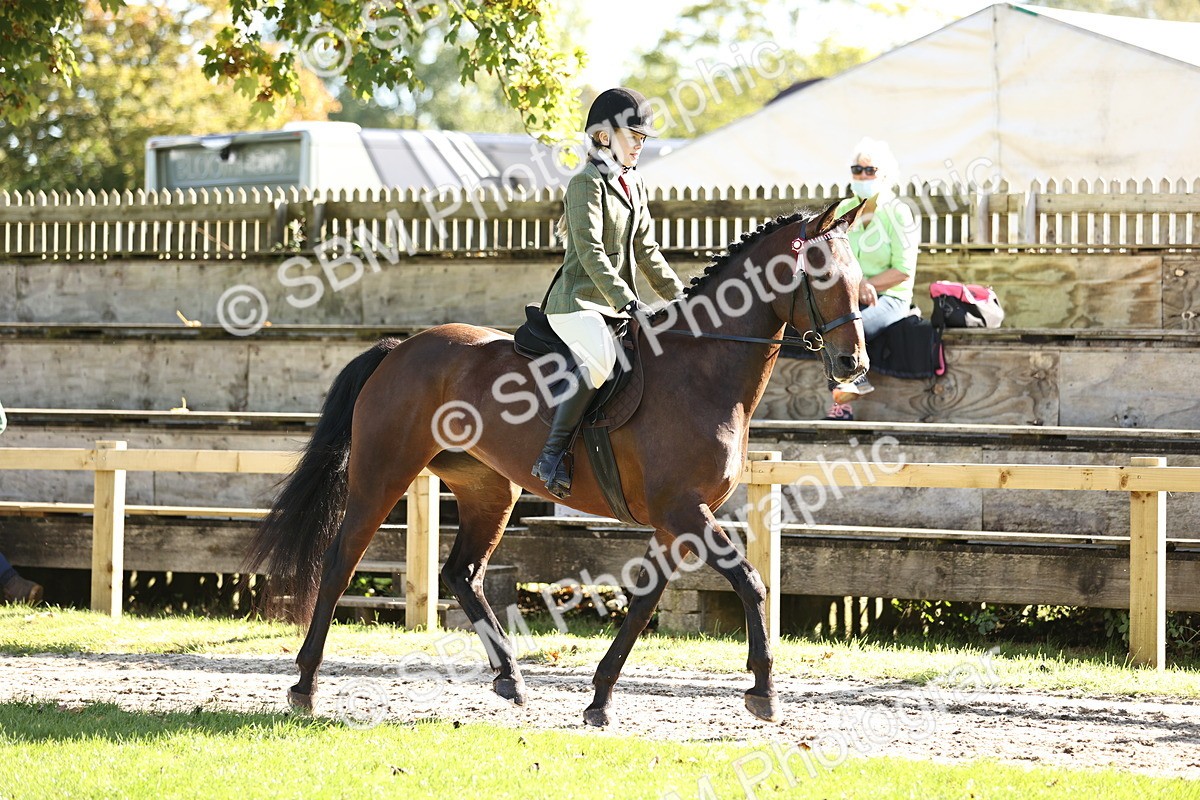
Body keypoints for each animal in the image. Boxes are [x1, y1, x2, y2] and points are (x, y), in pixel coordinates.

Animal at [246, 198, 868, 727]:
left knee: (461, 573)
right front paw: (763, 691)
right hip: (382, 476)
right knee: (339, 562)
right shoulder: (684, 512)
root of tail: (400, 347)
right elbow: (751, 582)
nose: (852, 365)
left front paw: (600, 699)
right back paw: (304, 685)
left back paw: (510, 677)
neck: (702, 368)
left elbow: (643, 604)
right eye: (822, 276)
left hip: (490, 490)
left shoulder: (678, 522)